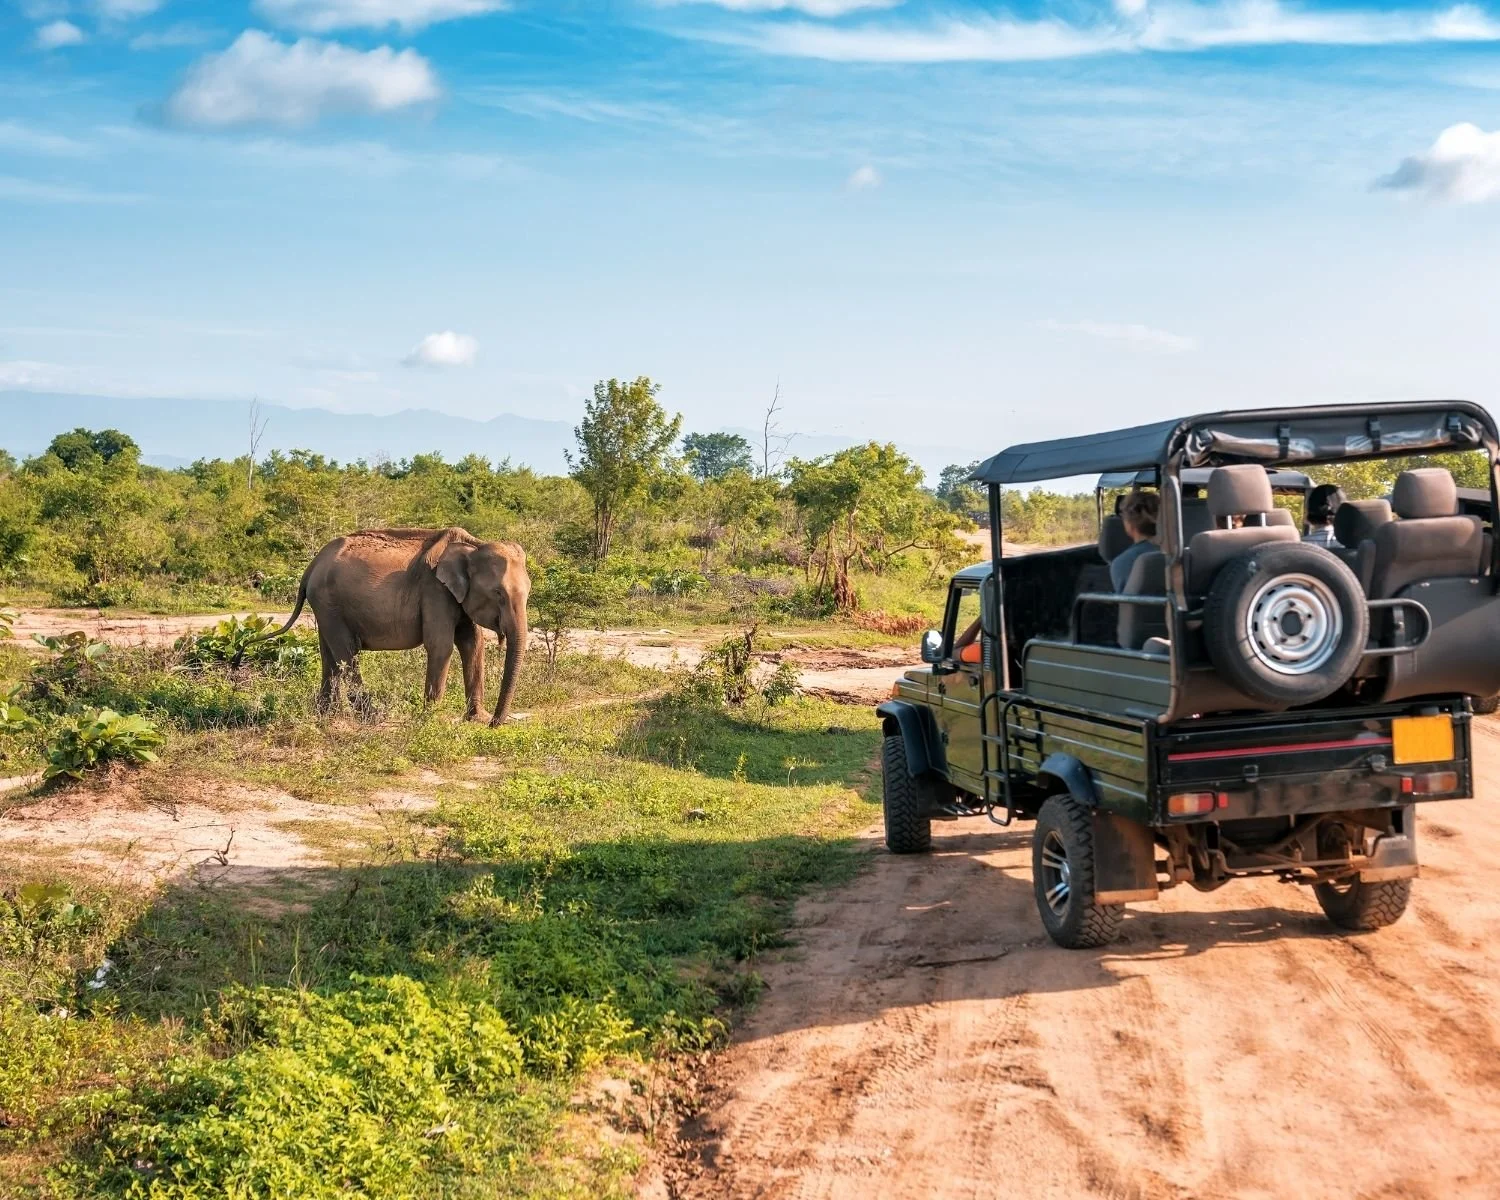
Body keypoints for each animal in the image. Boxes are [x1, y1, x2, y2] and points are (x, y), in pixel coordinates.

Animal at [250, 527, 529, 726]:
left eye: (528, 592)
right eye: (498, 593)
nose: (495, 724)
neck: (473, 545)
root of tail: (312, 566)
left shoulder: (455, 597)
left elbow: (472, 643)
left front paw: (476, 719)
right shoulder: (434, 590)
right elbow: (441, 646)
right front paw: (431, 720)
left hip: (324, 606)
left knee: (328, 654)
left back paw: (326, 716)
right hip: (329, 603)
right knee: (346, 652)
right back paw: (373, 716)